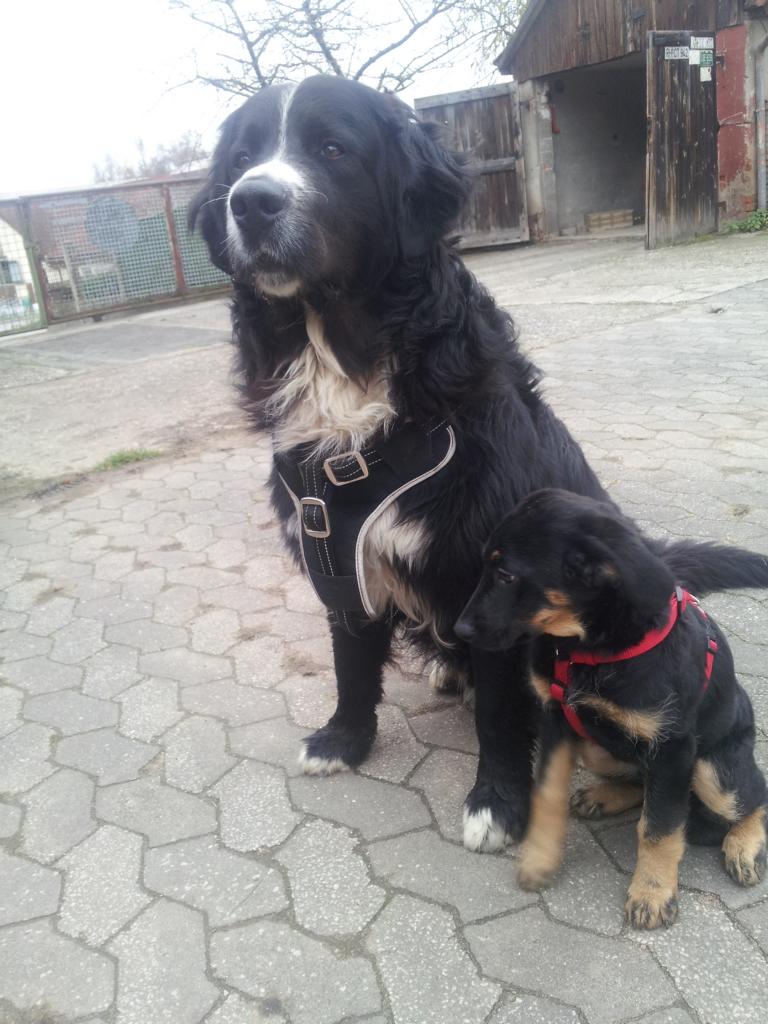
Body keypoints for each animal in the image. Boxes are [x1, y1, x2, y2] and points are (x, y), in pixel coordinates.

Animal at [191, 75, 606, 851]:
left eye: (332, 149)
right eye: (241, 158)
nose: (251, 201)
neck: (342, 360)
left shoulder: (495, 580)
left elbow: (500, 712)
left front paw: (498, 803)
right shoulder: (332, 548)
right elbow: (351, 664)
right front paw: (344, 741)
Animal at [456, 487, 768, 929]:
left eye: (507, 576)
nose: (459, 631)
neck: (586, 651)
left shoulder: (673, 748)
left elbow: (659, 827)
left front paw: (652, 893)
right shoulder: (557, 721)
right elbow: (548, 793)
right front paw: (540, 858)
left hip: (712, 770)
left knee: (753, 794)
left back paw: (743, 845)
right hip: (597, 747)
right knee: (642, 783)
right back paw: (604, 796)